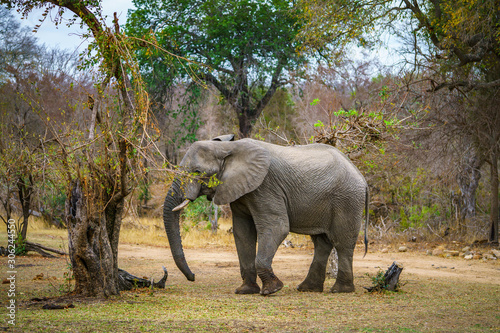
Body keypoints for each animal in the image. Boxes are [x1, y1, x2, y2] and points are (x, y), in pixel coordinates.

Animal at [163, 134, 368, 294]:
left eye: (197, 172)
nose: (193, 277)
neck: (228, 148)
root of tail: (361, 176)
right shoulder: (240, 190)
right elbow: (242, 233)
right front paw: (245, 291)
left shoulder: (265, 186)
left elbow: (277, 227)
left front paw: (272, 289)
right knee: (321, 243)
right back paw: (308, 288)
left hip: (347, 199)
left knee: (342, 242)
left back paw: (340, 290)